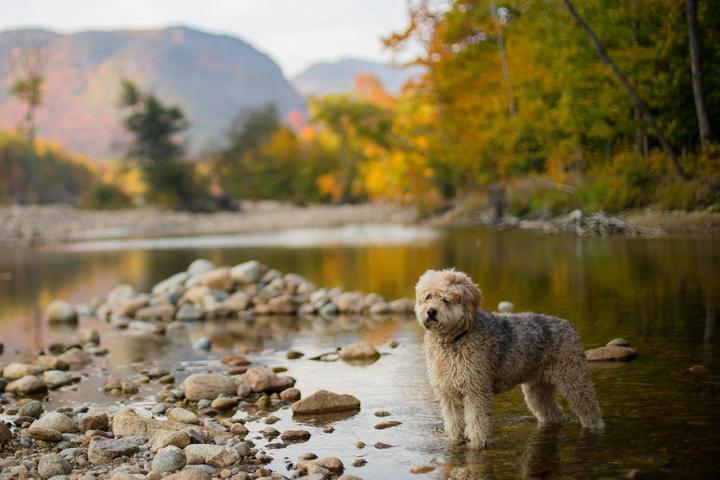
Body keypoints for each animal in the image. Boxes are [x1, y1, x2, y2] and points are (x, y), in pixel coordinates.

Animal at [414, 268, 604, 448]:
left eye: (446, 299)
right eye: (428, 296)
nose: (431, 312)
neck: (455, 339)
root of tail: (569, 325)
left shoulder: (476, 391)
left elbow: (476, 424)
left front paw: (476, 445)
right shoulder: (448, 394)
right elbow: (453, 424)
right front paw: (455, 442)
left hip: (575, 382)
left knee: (590, 411)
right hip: (537, 390)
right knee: (554, 413)